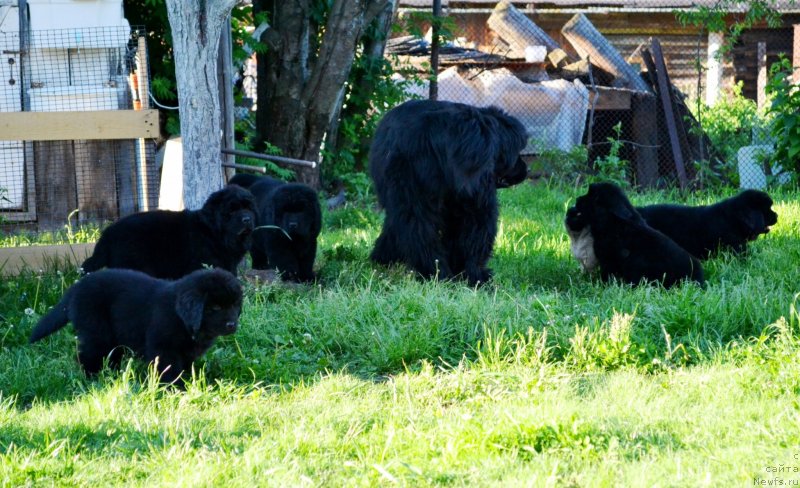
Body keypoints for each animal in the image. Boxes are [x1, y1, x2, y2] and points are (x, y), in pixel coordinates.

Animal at [29, 266, 242, 386]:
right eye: (215, 307)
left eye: (234, 305)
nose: (232, 325)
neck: (182, 317)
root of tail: (75, 288)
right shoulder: (163, 348)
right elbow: (169, 370)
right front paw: (176, 389)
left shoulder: (186, 353)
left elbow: (185, 367)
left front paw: (190, 382)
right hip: (97, 333)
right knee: (87, 355)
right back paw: (93, 379)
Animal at [368, 98, 532, 286]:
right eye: (515, 152)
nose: (527, 169)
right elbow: (477, 228)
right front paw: (474, 273)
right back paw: (452, 274)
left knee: (412, 224)